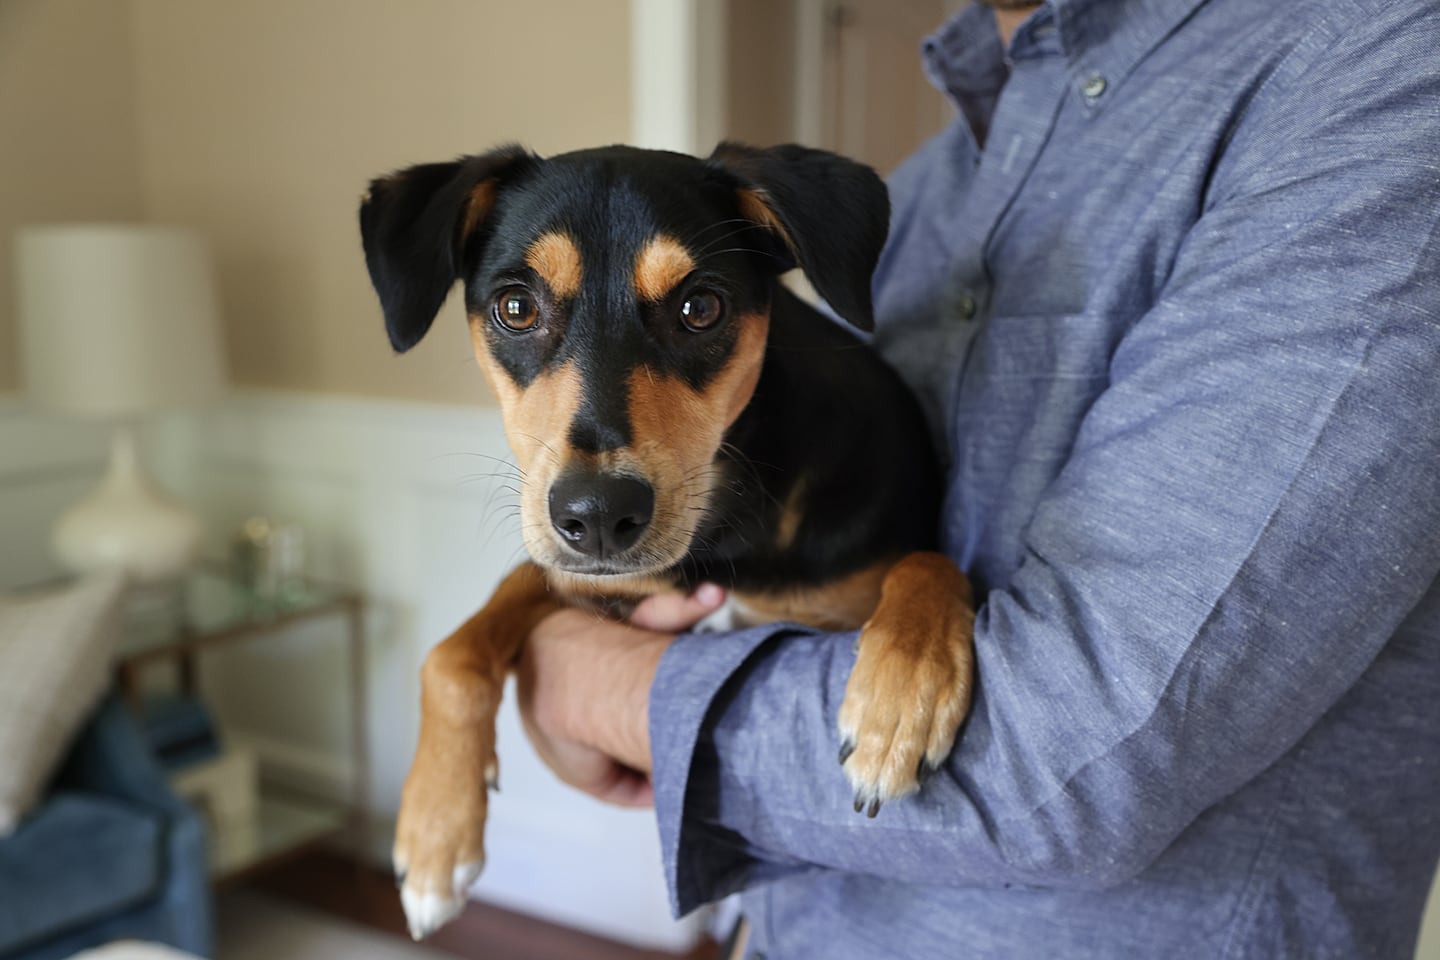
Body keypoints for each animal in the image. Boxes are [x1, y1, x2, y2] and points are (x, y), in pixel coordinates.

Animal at [360, 142, 979, 938]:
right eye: (516, 307)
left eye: (700, 307)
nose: (597, 515)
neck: (726, 529)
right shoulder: (584, 574)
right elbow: (452, 656)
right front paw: (433, 839)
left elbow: (929, 563)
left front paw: (902, 704)